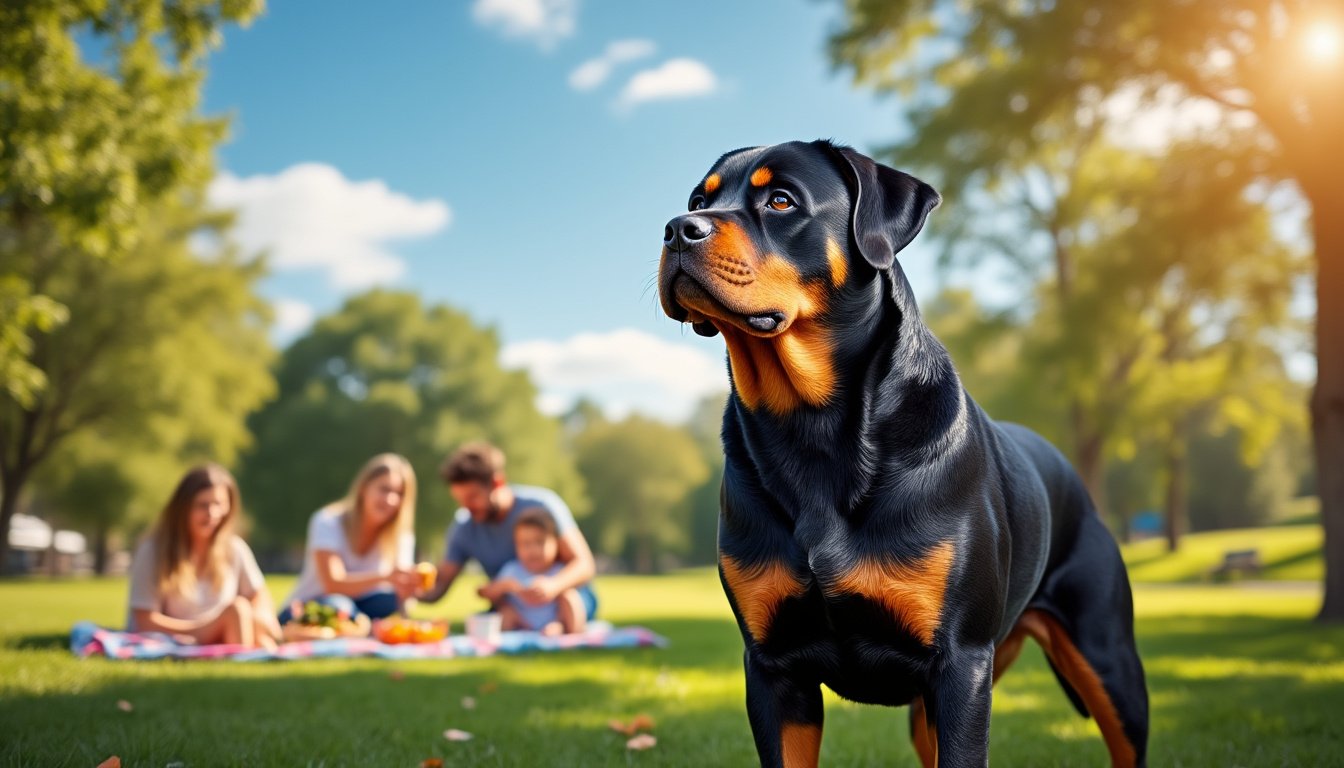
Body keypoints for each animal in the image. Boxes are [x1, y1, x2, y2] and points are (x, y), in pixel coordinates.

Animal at [655, 141, 1150, 763]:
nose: (677, 228)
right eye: (700, 200)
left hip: (1108, 660)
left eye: (781, 200)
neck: (811, 427)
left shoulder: (960, 663)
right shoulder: (772, 669)